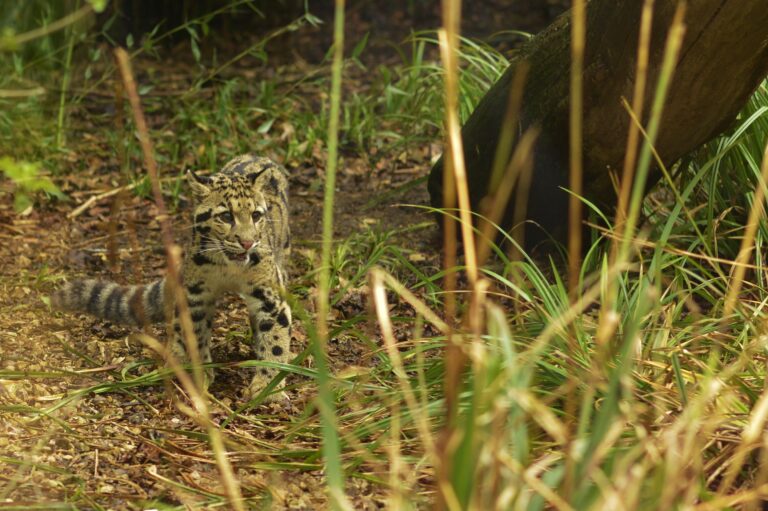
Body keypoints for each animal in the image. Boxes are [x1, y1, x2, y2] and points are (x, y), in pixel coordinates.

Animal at [52, 154, 293, 401]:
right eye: (226, 216)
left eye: (256, 215)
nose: (248, 242)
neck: (228, 268)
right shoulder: (196, 294)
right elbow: (195, 334)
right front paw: (200, 374)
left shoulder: (269, 295)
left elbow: (275, 339)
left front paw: (268, 387)